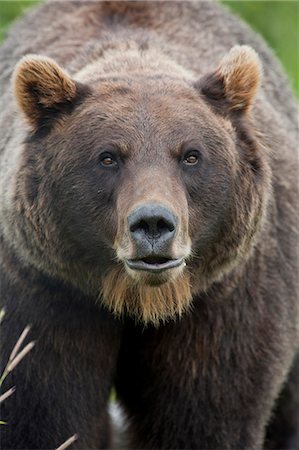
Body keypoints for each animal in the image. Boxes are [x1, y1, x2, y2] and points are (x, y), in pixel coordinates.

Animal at [0, 0, 298, 450]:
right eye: (108, 156)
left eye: (191, 155)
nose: (154, 223)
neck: (139, 300)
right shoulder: (46, 291)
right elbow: (41, 408)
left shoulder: (225, 298)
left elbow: (203, 412)